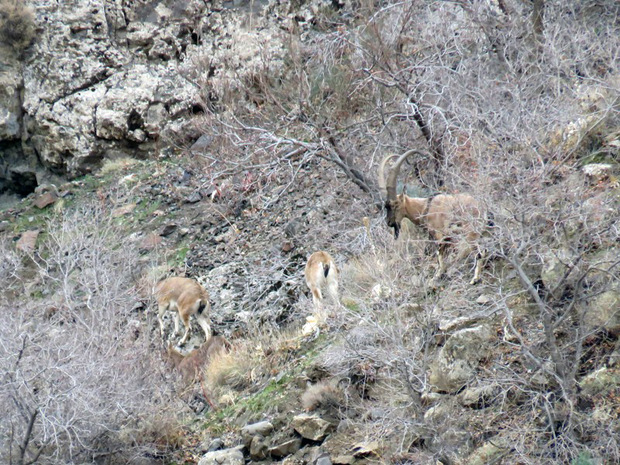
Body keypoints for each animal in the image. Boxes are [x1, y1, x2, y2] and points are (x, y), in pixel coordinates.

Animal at [378, 150, 490, 284]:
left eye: (395, 205)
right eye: (386, 206)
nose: (389, 222)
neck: (426, 207)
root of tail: (481, 208)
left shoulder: (439, 235)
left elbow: (439, 255)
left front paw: (436, 276)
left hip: (470, 233)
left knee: (479, 252)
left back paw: (474, 279)